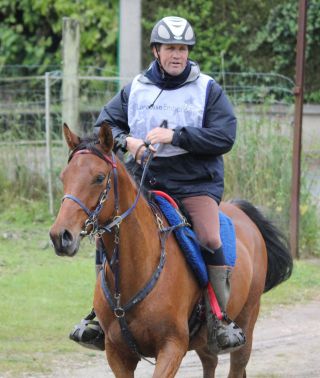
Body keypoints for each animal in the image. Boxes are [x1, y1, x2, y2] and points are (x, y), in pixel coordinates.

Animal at [49, 122, 292, 376]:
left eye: (98, 177)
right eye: (64, 176)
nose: (60, 236)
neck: (137, 270)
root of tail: (241, 211)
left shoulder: (172, 347)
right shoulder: (117, 353)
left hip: (247, 325)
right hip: (204, 342)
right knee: (210, 363)